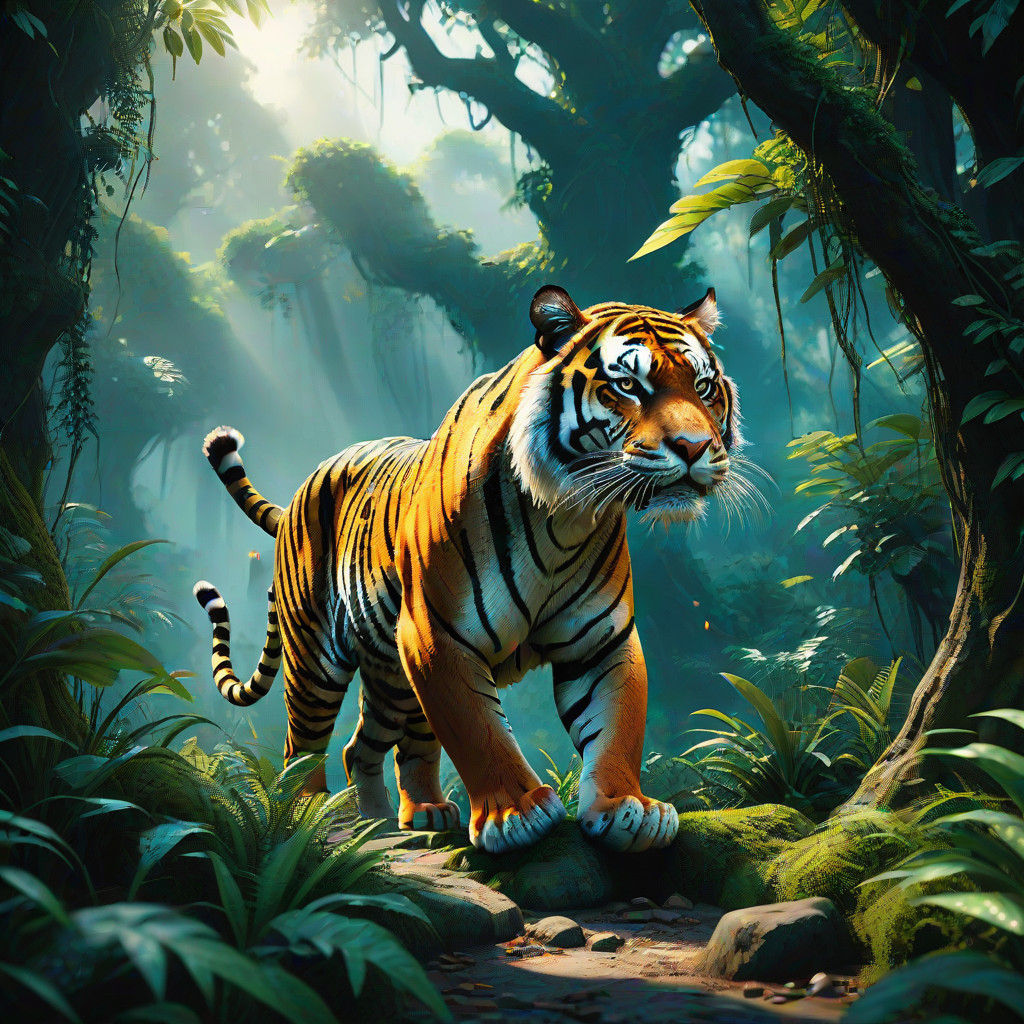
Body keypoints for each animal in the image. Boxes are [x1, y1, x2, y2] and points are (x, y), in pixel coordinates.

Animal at [193, 284, 744, 854]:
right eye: (628, 385)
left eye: (703, 386)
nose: (695, 448)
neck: (564, 517)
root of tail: (297, 495)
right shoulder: (437, 635)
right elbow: (479, 730)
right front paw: (516, 814)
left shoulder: (603, 638)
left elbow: (617, 724)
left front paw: (627, 808)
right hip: (316, 659)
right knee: (302, 743)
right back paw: (309, 814)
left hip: (392, 677)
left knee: (369, 745)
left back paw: (401, 816)